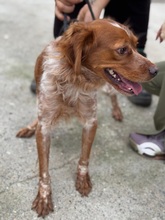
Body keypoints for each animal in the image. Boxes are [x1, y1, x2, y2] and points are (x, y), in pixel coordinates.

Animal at [16, 18, 158, 217]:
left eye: (137, 46)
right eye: (123, 50)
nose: (156, 70)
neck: (74, 79)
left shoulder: (91, 121)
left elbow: (84, 157)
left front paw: (82, 180)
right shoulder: (44, 125)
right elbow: (44, 171)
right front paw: (44, 198)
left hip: (108, 87)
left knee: (113, 95)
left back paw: (117, 112)